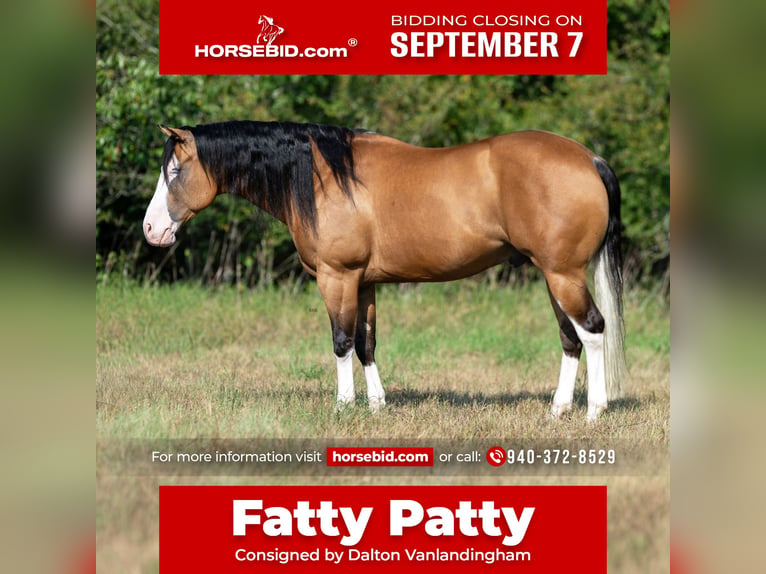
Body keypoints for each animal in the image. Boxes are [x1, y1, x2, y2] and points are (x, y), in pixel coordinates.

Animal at [143, 121, 626, 421]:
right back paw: (558, 410)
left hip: (563, 274)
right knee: (570, 338)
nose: (152, 230)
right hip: (553, 275)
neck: (322, 178)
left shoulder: (337, 277)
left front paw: (342, 407)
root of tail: (589, 158)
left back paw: (594, 411)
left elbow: (341, 342)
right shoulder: (365, 282)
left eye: (174, 170)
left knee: (592, 329)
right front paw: (376, 405)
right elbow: (366, 344)